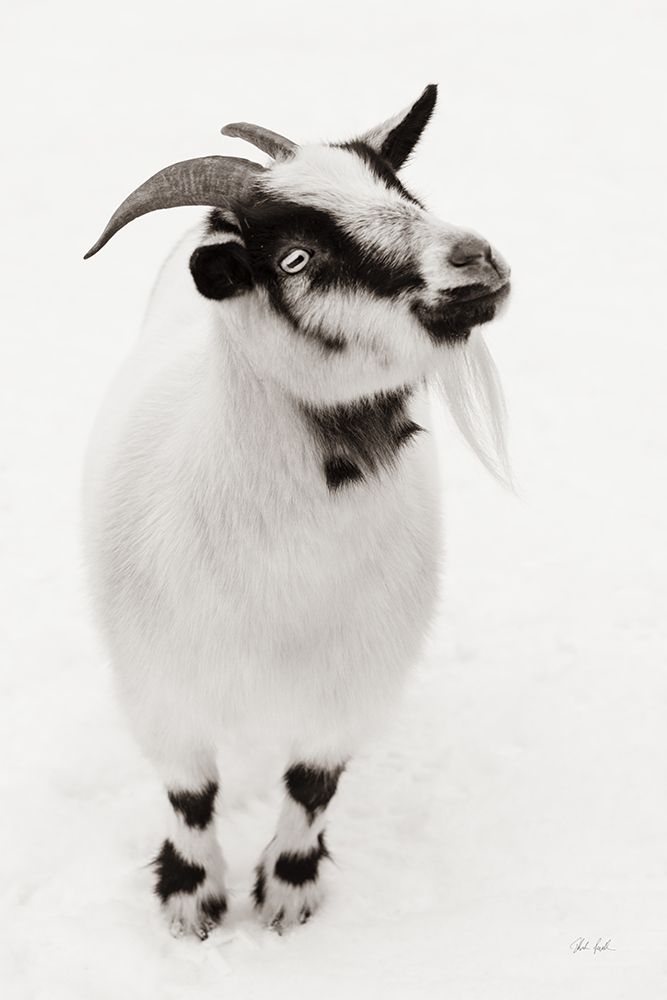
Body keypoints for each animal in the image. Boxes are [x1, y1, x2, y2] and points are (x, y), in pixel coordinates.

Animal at [83, 84, 511, 939]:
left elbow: (312, 787)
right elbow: (190, 795)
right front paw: (191, 901)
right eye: (295, 258)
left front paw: (287, 894)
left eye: (403, 193)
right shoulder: (158, 686)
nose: (473, 258)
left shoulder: (355, 684)